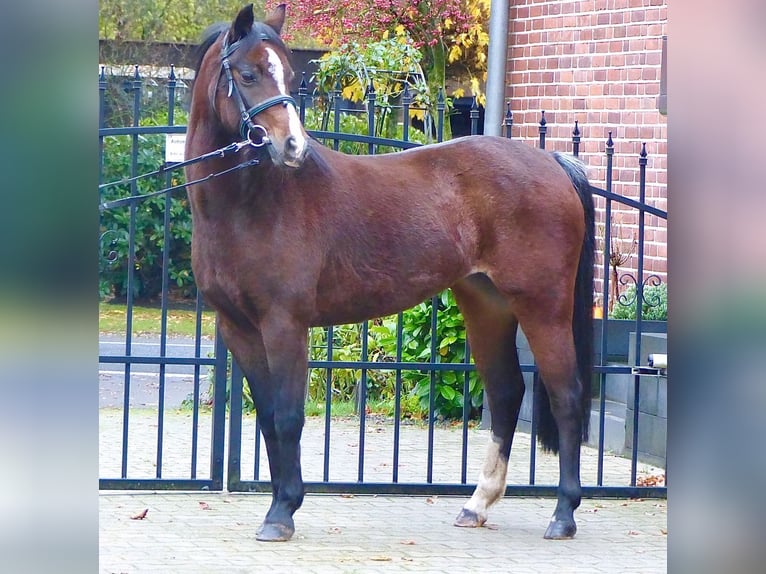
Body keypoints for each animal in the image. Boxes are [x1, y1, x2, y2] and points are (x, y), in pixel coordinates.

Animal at [189, 3, 596, 544]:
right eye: (249, 74)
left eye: (291, 76)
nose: (292, 146)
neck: (250, 203)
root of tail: (551, 160)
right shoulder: (239, 329)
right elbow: (269, 418)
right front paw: (278, 507)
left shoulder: (284, 325)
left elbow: (289, 418)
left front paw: (282, 513)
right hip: (486, 306)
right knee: (508, 393)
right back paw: (477, 505)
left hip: (543, 307)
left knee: (567, 395)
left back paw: (563, 514)